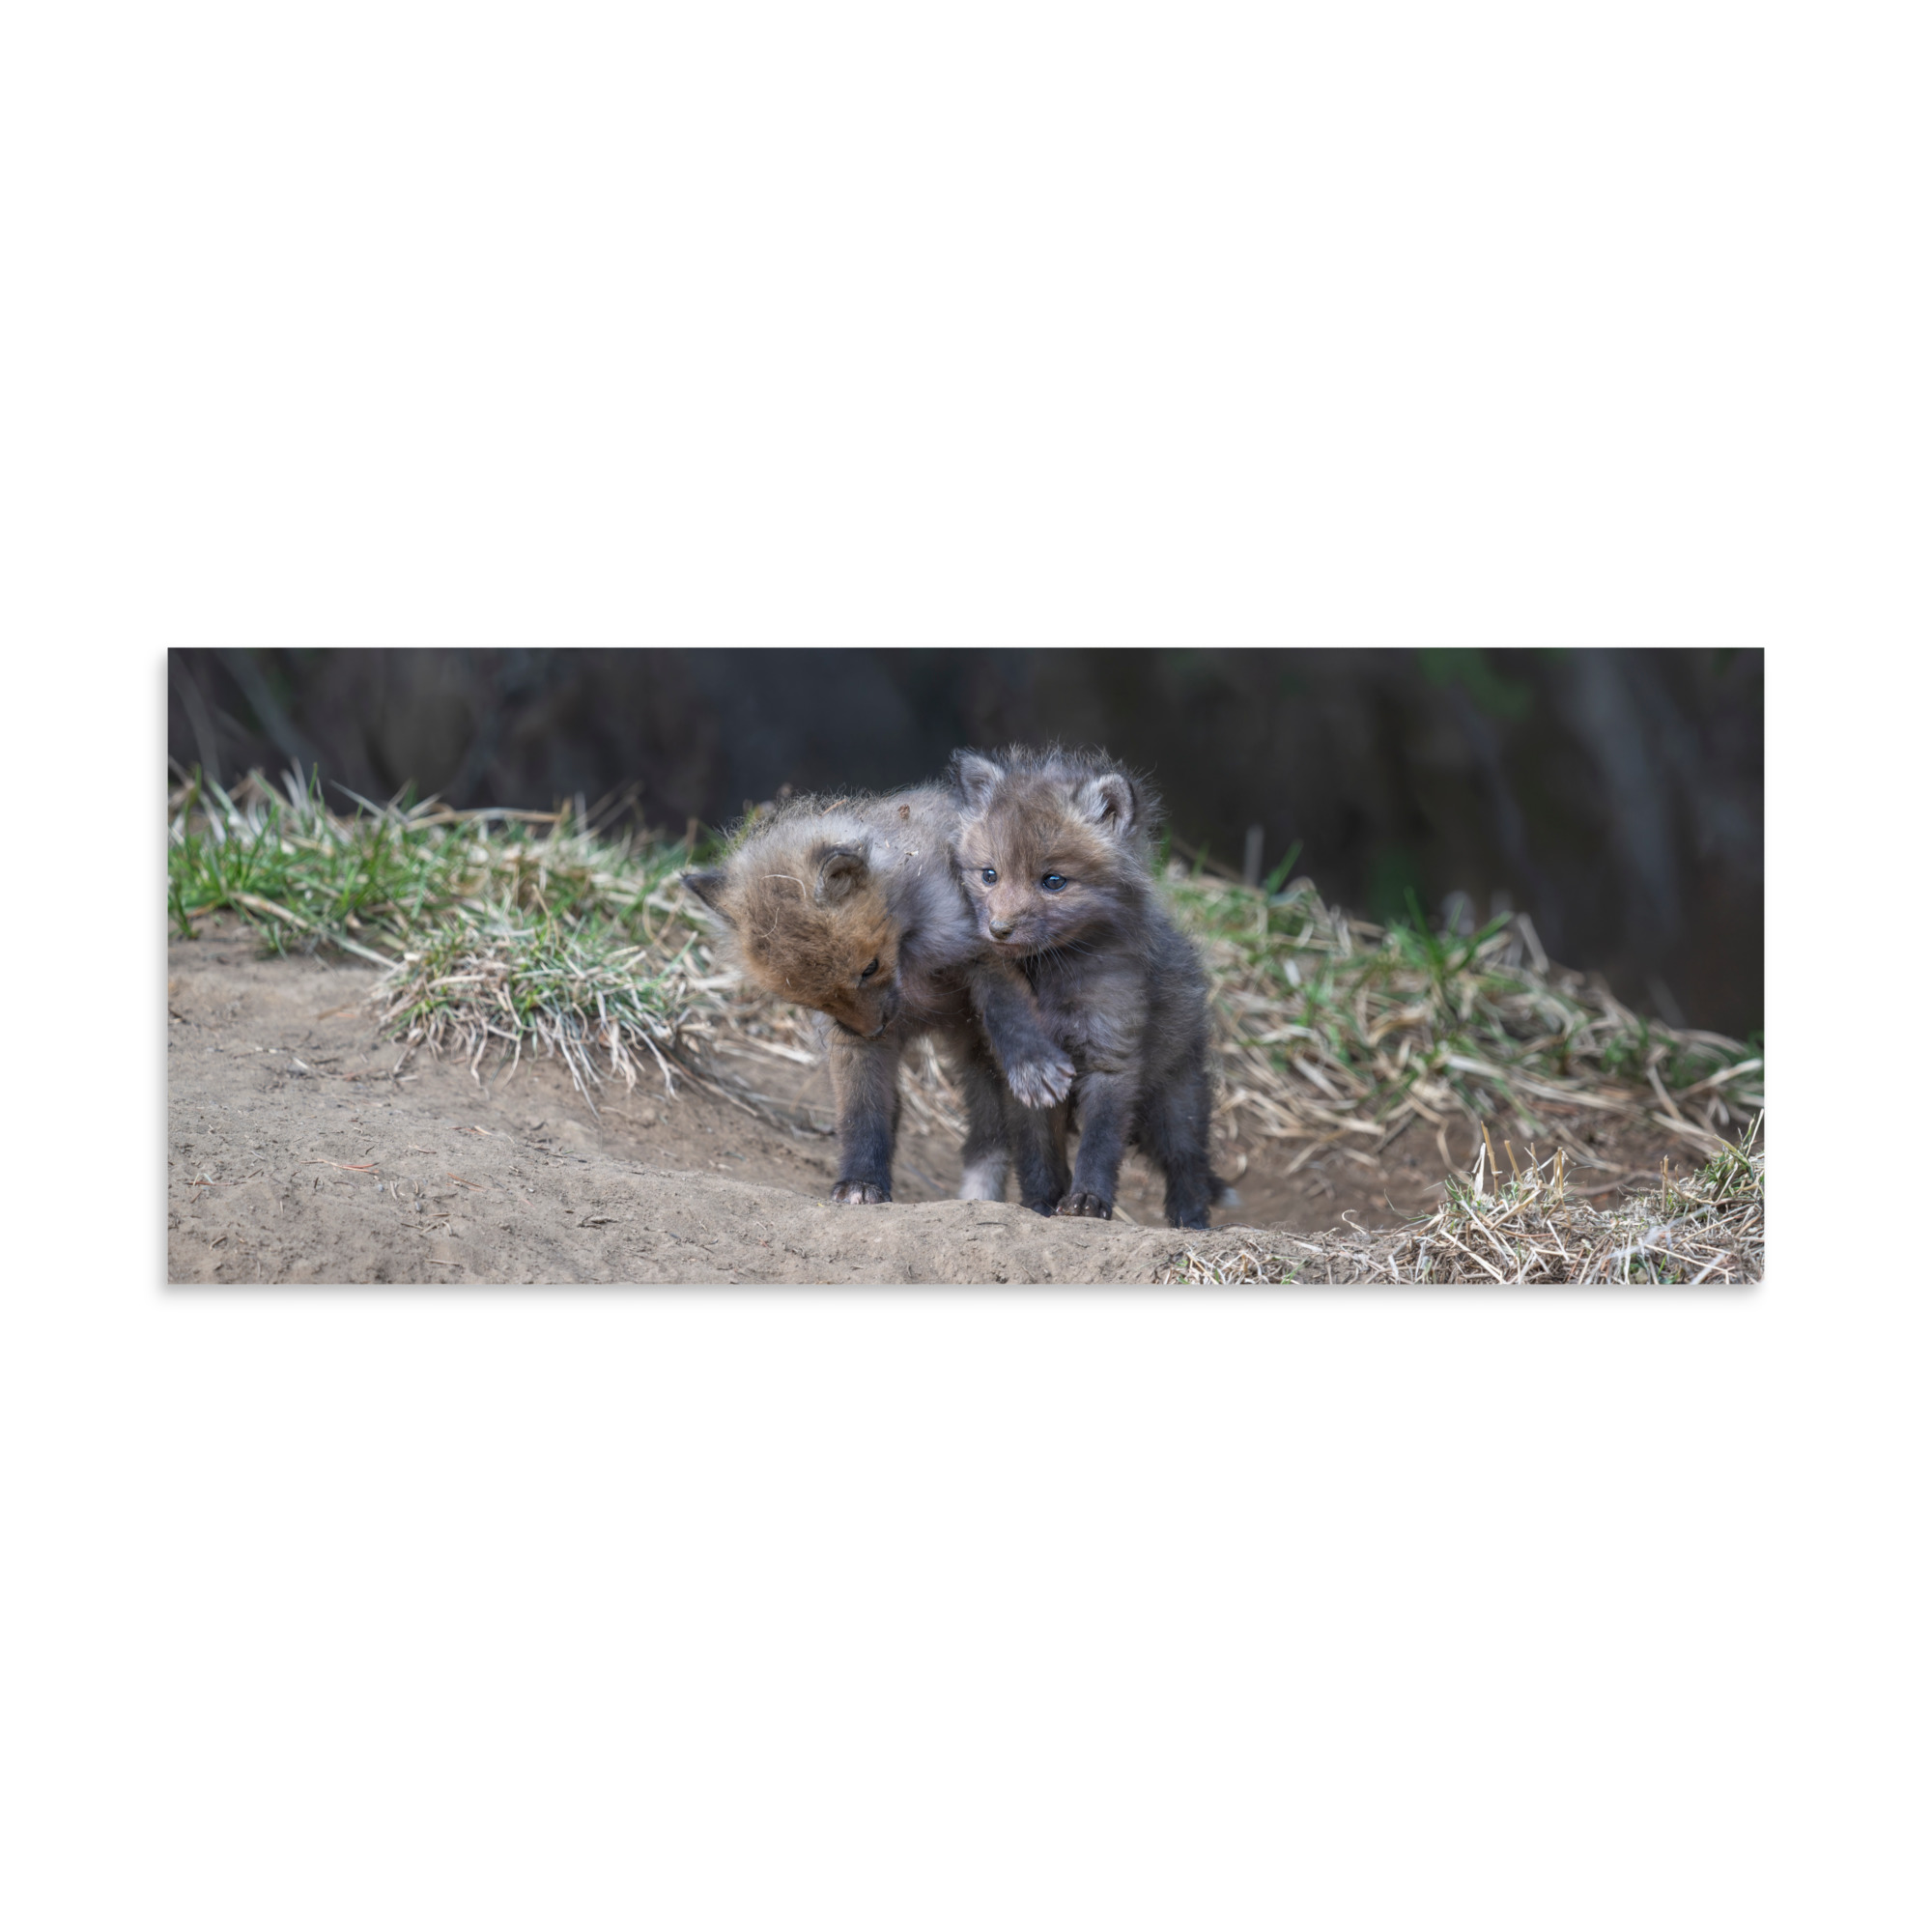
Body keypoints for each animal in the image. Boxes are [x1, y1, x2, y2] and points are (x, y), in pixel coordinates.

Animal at [682, 786, 1076, 1209]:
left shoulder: (984, 949)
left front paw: (1032, 1064)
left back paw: (1043, 1202)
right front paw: (861, 1181)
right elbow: (862, 1112)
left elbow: (1009, 1012)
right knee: (985, 1137)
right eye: (812, 1000)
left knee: (1026, 1139)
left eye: (869, 968)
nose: (873, 1030)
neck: (911, 961)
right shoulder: (848, 1039)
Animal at [947, 744, 1222, 1229]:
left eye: (1053, 881)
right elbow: (1037, 1153)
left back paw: (1192, 1223)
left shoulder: (1111, 1057)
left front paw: (1088, 1201)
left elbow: (1100, 1144)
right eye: (989, 875)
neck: (1052, 980)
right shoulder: (1026, 1077)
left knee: (1188, 1163)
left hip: (1176, 1102)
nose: (998, 930)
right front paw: (1040, 1204)